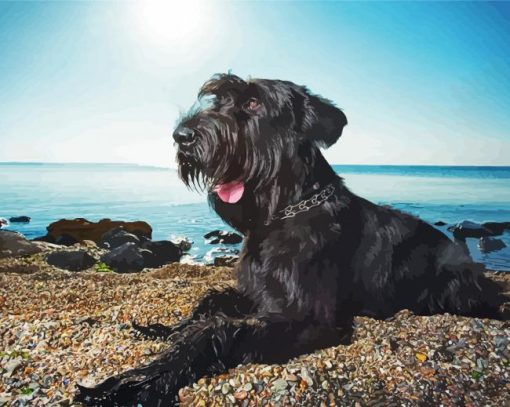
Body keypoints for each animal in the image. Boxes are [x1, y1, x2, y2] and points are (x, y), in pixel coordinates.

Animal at [75, 75, 506, 406]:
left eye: (252, 102)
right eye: (218, 99)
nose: (181, 136)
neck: (281, 213)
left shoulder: (307, 318)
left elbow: (216, 329)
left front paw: (134, 384)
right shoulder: (257, 292)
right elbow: (208, 304)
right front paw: (163, 330)